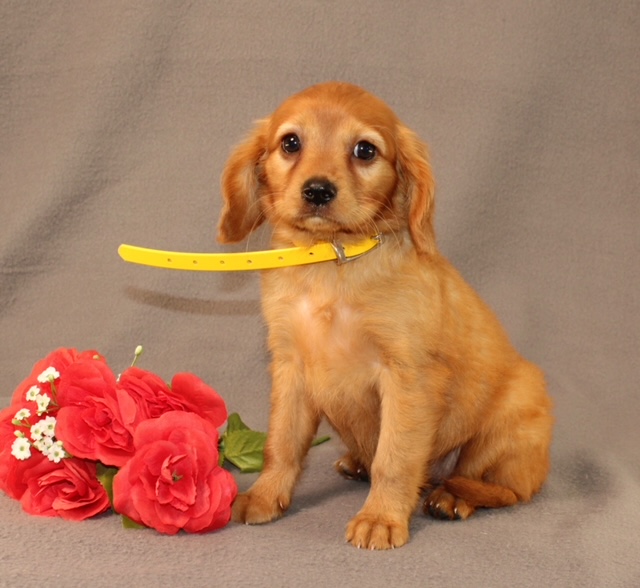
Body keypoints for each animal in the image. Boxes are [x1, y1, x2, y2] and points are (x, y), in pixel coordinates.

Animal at [218, 80, 552, 548]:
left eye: (365, 150)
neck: (333, 263)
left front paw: (380, 517)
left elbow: (394, 457)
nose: (317, 191)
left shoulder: (407, 378)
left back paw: (452, 497)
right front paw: (266, 496)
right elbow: (282, 444)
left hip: (513, 418)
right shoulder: (290, 367)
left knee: (501, 489)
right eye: (290, 143)